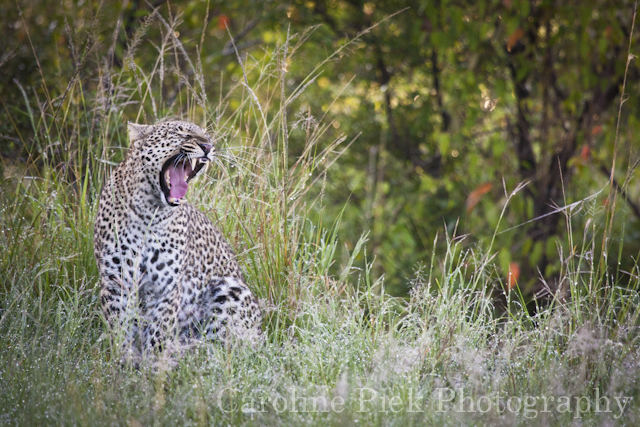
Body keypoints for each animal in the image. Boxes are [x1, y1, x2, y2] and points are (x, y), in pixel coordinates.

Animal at [93, 119, 262, 362]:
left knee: (226, 349)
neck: (150, 213)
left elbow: (157, 333)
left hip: (230, 289)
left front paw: (153, 367)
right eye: (180, 132)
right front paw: (123, 363)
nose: (208, 146)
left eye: (207, 136)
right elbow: (120, 330)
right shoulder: (116, 282)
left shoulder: (166, 288)